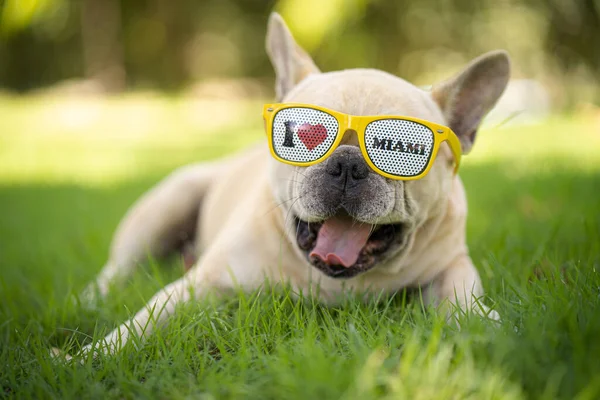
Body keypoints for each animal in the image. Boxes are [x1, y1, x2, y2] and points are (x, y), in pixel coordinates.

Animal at [63, 12, 508, 358]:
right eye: (302, 134)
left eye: (403, 150)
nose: (348, 165)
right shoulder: (201, 286)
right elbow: (142, 324)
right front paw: (85, 359)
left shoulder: (452, 262)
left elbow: (462, 294)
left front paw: (485, 325)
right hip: (167, 204)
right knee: (116, 271)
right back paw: (90, 298)